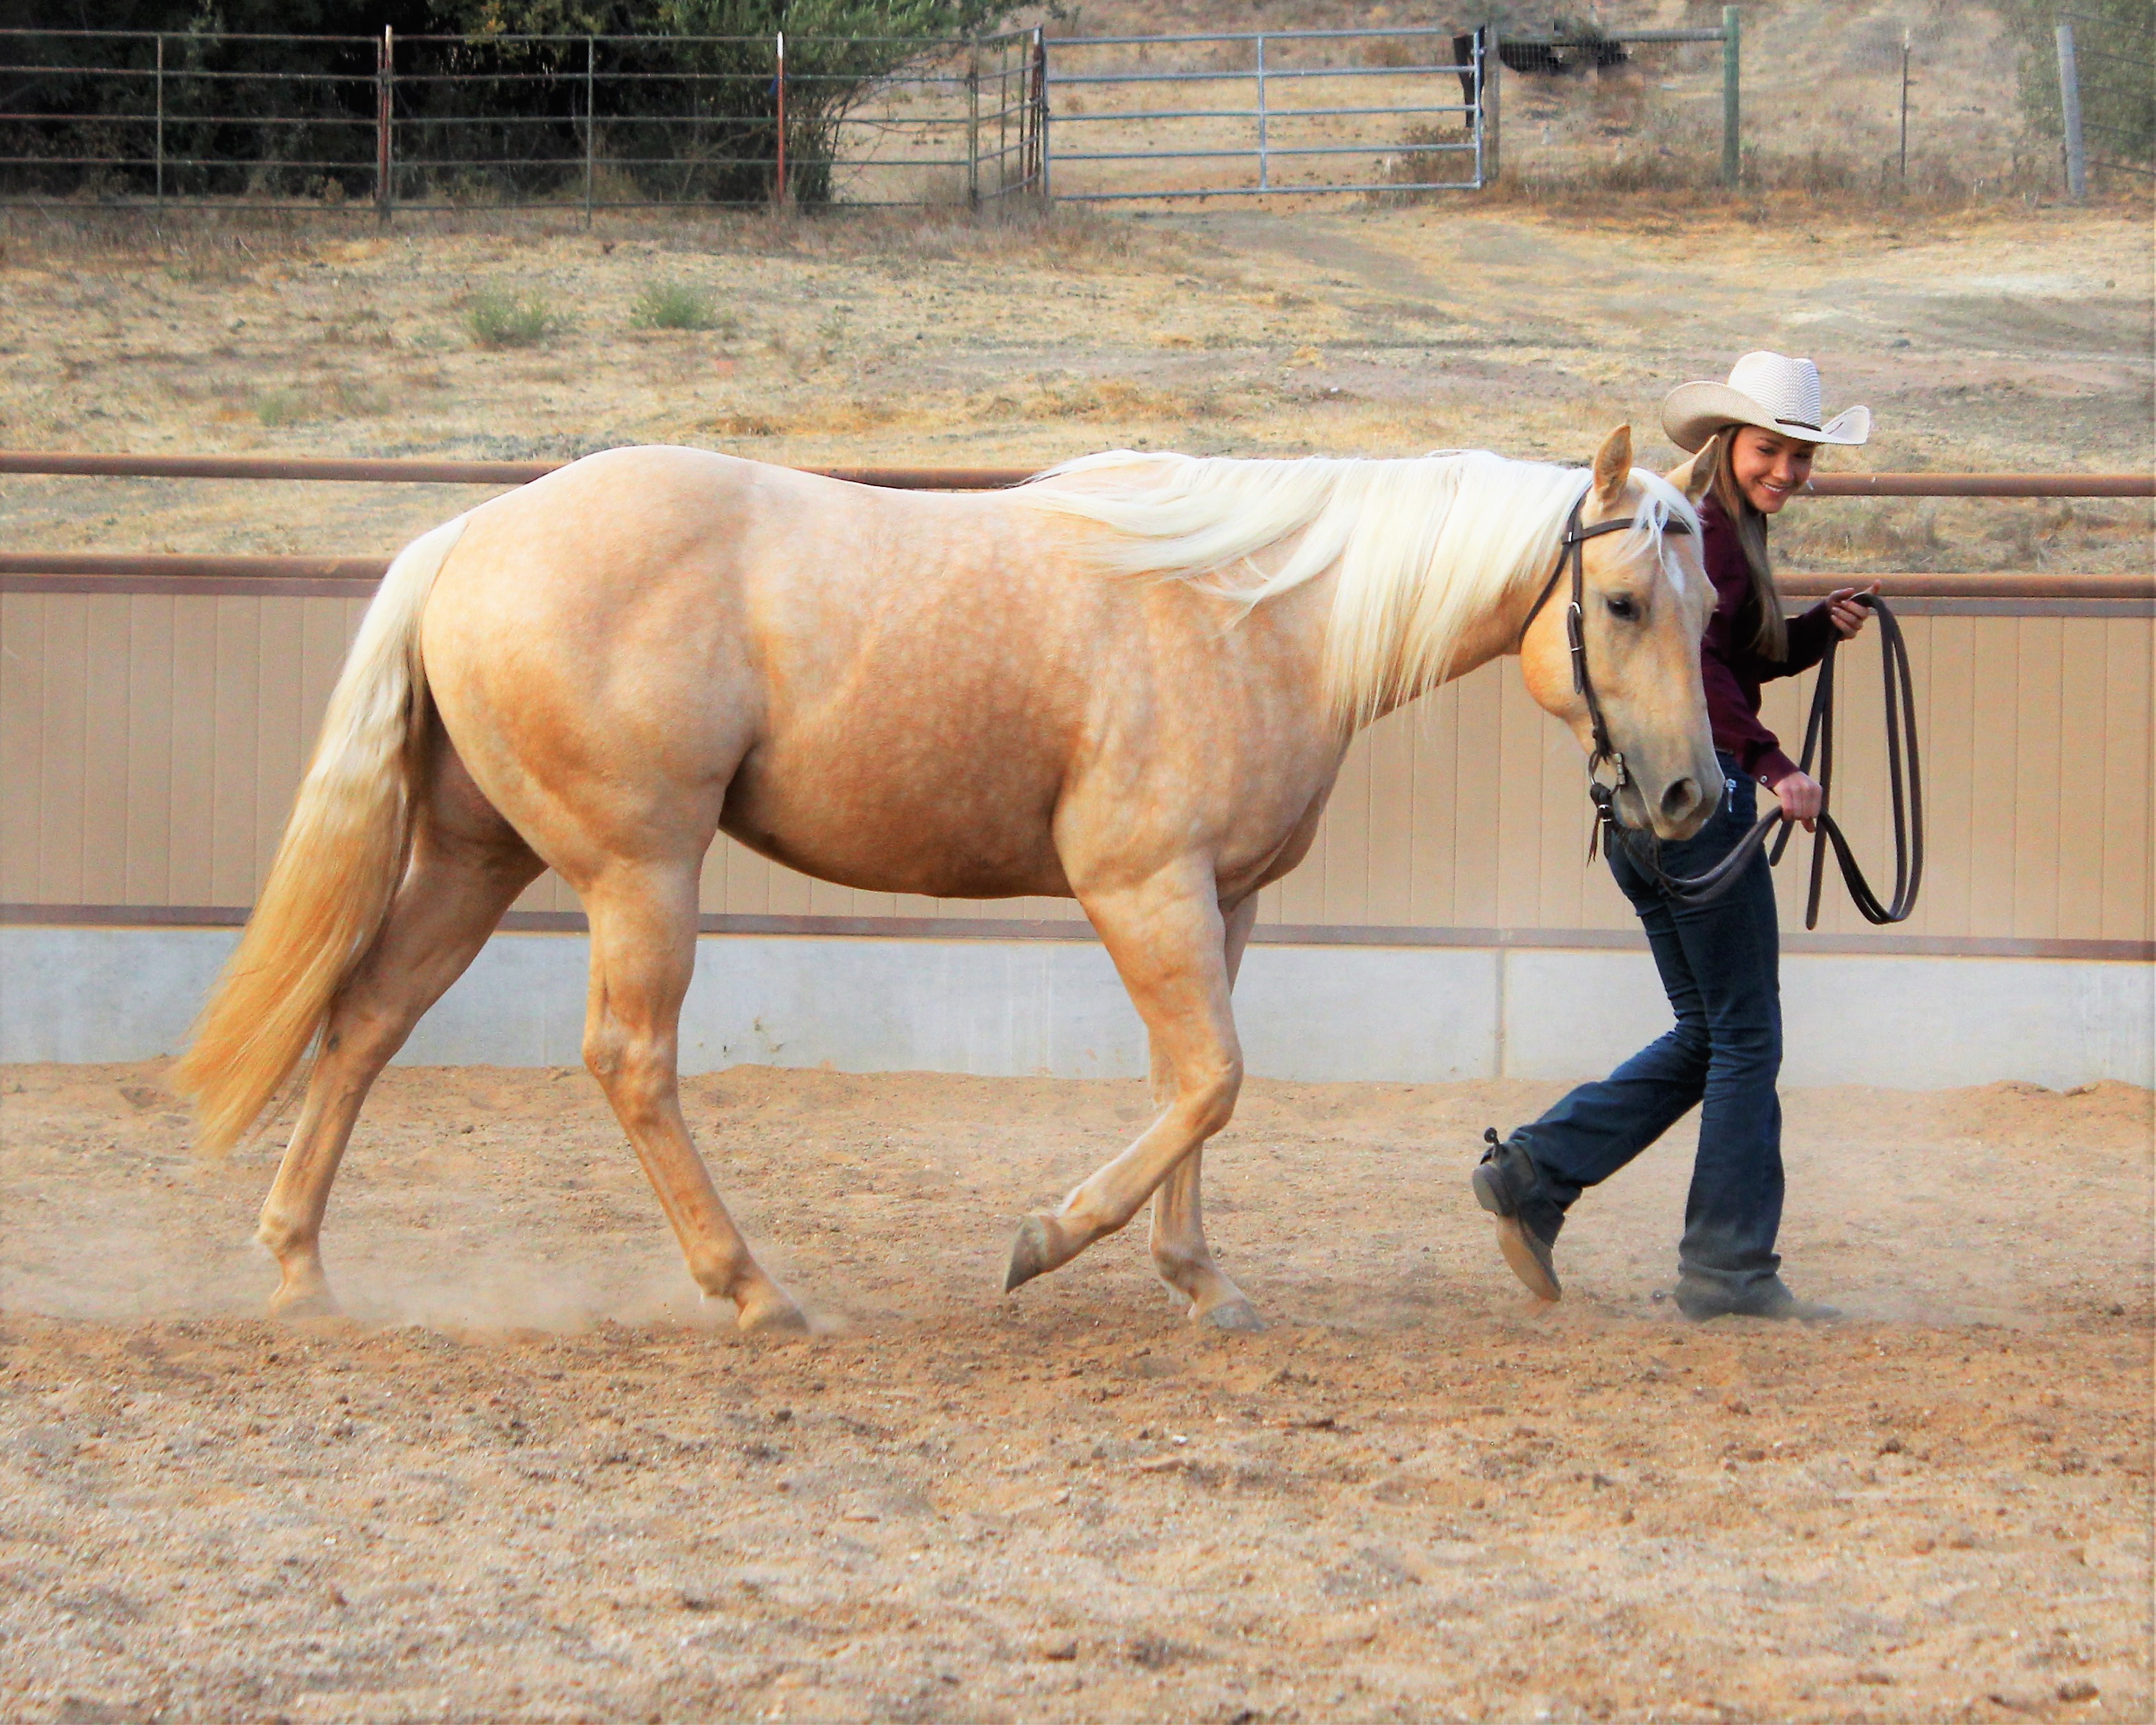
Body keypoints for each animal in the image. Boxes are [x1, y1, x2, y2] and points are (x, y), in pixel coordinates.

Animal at [175, 424, 1721, 1335]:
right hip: (638, 866)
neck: (1254, 611)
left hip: (480, 853)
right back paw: (752, 1290)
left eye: (1709, 604)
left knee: (365, 1021)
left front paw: (1198, 1278)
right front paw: (1047, 1241)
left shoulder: (1221, 901)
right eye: (1620, 602)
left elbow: (1199, 1085)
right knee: (627, 1059)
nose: (1689, 796)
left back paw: (300, 1264)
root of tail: (468, 539)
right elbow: (1210, 1079)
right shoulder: (1139, 887)